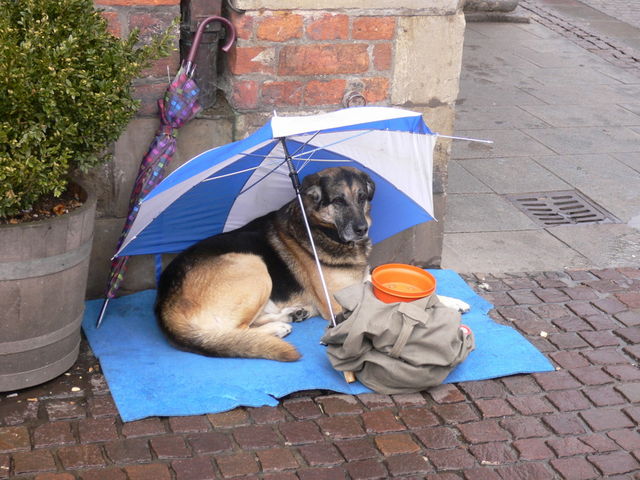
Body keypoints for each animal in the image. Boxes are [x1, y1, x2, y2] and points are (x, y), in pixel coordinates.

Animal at [155, 167, 470, 362]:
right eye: (338, 200)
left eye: (361, 197)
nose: (362, 229)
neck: (323, 231)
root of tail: (163, 306)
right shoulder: (338, 304)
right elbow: (388, 305)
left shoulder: (360, 282)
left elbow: (416, 297)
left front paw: (451, 302)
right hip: (251, 264)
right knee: (234, 330)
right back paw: (277, 329)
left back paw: (292, 315)